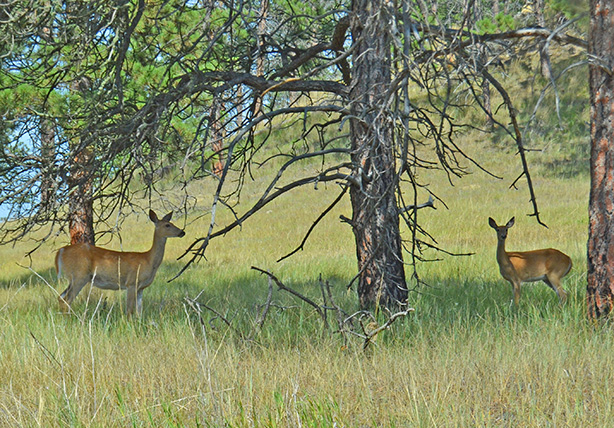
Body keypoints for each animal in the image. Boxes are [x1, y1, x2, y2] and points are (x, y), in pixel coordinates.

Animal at [56, 209, 185, 316]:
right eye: (167, 225)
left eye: (172, 223)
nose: (182, 232)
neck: (148, 260)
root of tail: (61, 251)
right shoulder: (131, 282)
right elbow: (129, 310)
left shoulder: (141, 288)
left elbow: (139, 311)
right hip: (80, 275)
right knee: (67, 299)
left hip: (74, 278)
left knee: (61, 297)